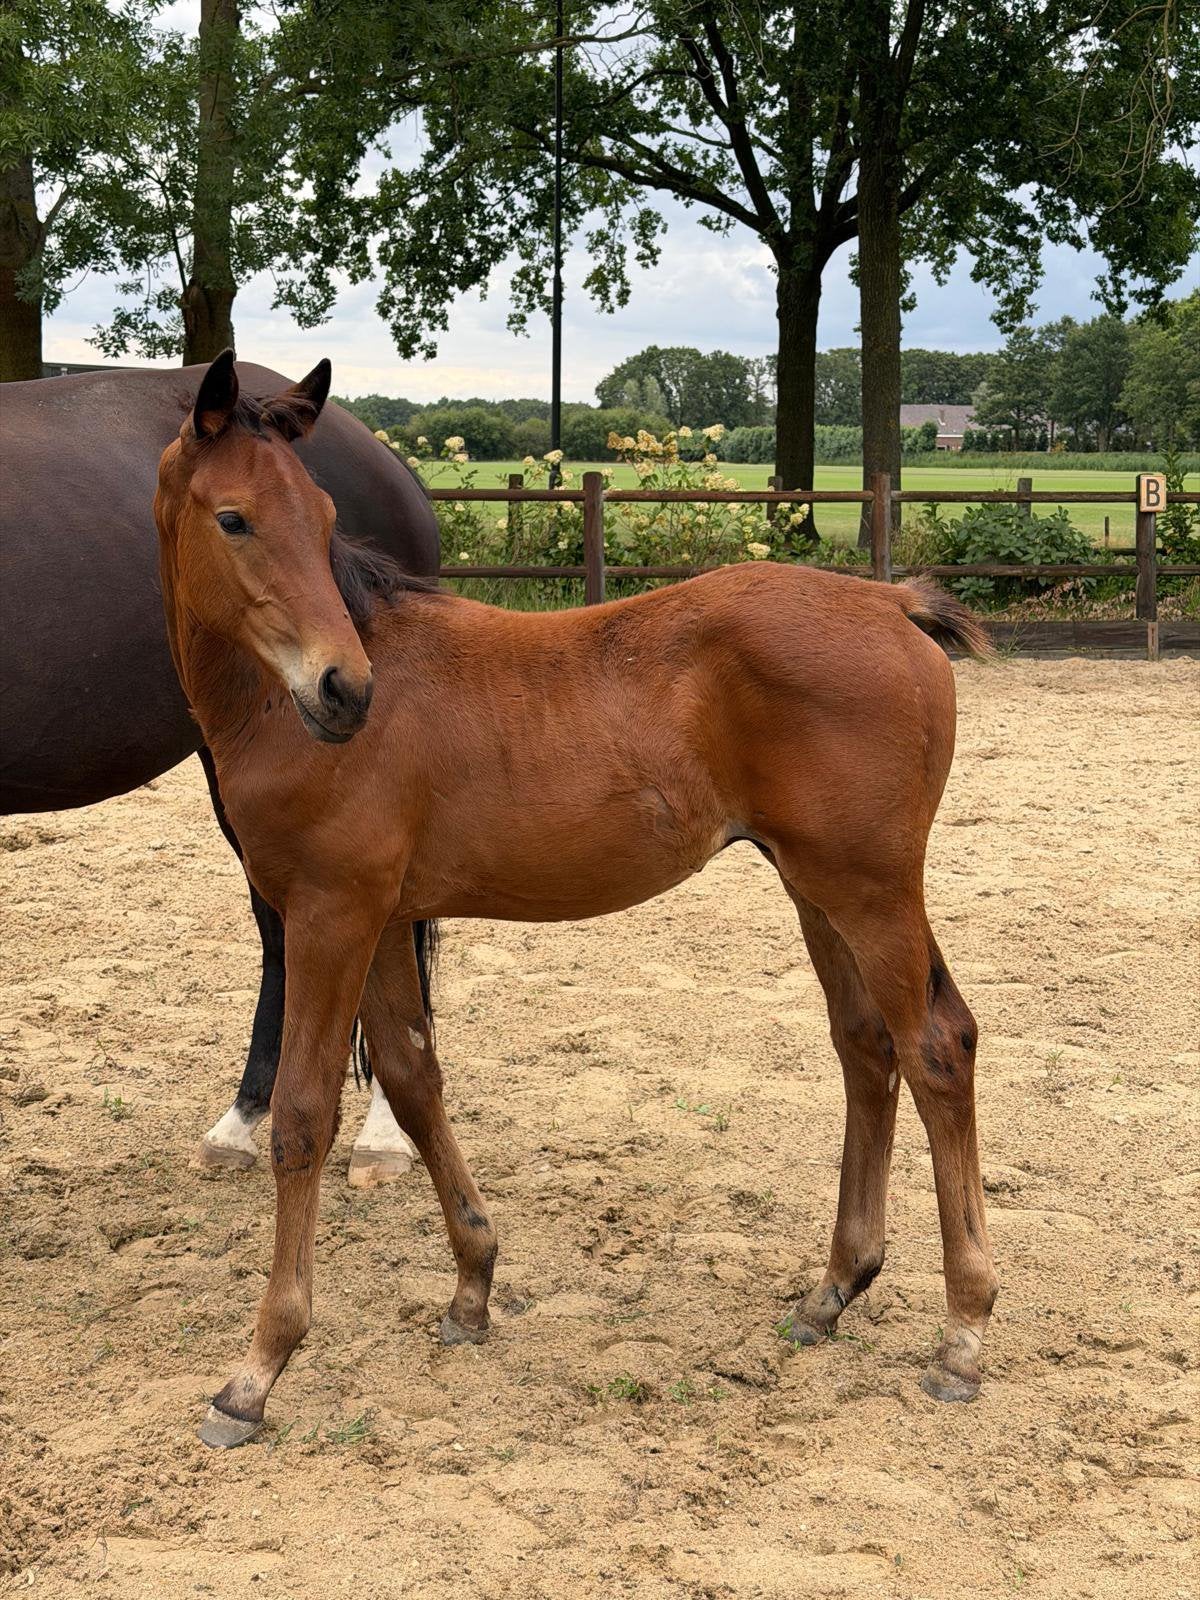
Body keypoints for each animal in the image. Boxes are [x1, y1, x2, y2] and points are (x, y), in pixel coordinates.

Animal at [0, 359, 439, 1182]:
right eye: (232, 521)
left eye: (325, 521)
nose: (344, 684)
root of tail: (391, 460)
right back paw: (247, 1119)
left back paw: (380, 1133)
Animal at [154, 351, 1000, 1448]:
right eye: (236, 518)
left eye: (324, 514)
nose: (346, 690)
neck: (277, 707)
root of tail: (892, 606)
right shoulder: (381, 917)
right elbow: (415, 1080)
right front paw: (472, 1287)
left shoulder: (328, 916)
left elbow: (303, 1117)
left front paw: (255, 1371)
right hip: (816, 887)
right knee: (866, 1049)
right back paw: (832, 1290)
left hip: (871, 889)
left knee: (936, 1048)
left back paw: (962, 1335)